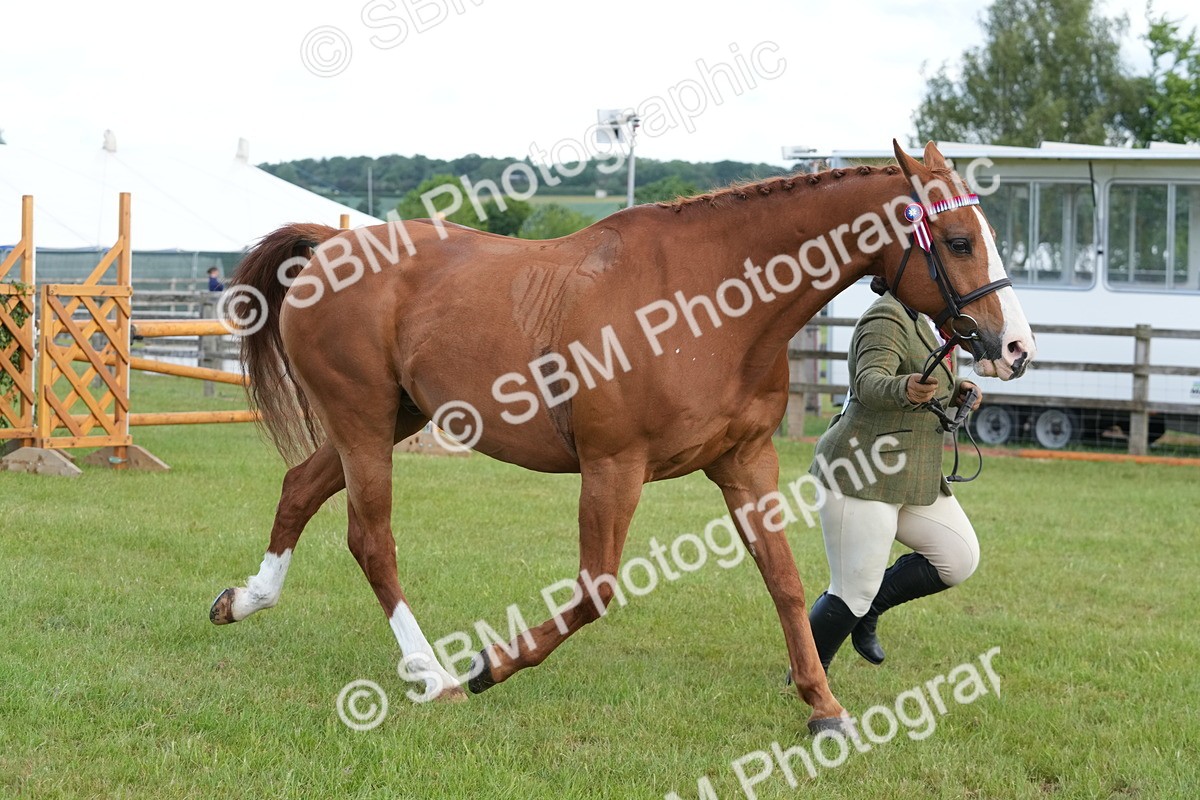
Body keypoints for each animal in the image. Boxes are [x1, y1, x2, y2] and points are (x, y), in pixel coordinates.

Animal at [209, 141, 1035, 734]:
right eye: (958, 240)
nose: (1015, 346)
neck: (709, 303)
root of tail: (329, 246)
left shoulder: (745, 463)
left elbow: (787, 581)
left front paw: (822, 704)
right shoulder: (614, 468)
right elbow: (596, 592)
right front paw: (490, 666)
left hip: (391, 420)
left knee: (300, 488)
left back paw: (244, 599)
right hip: (364, 423)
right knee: (371, 538)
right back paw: (434, 674)